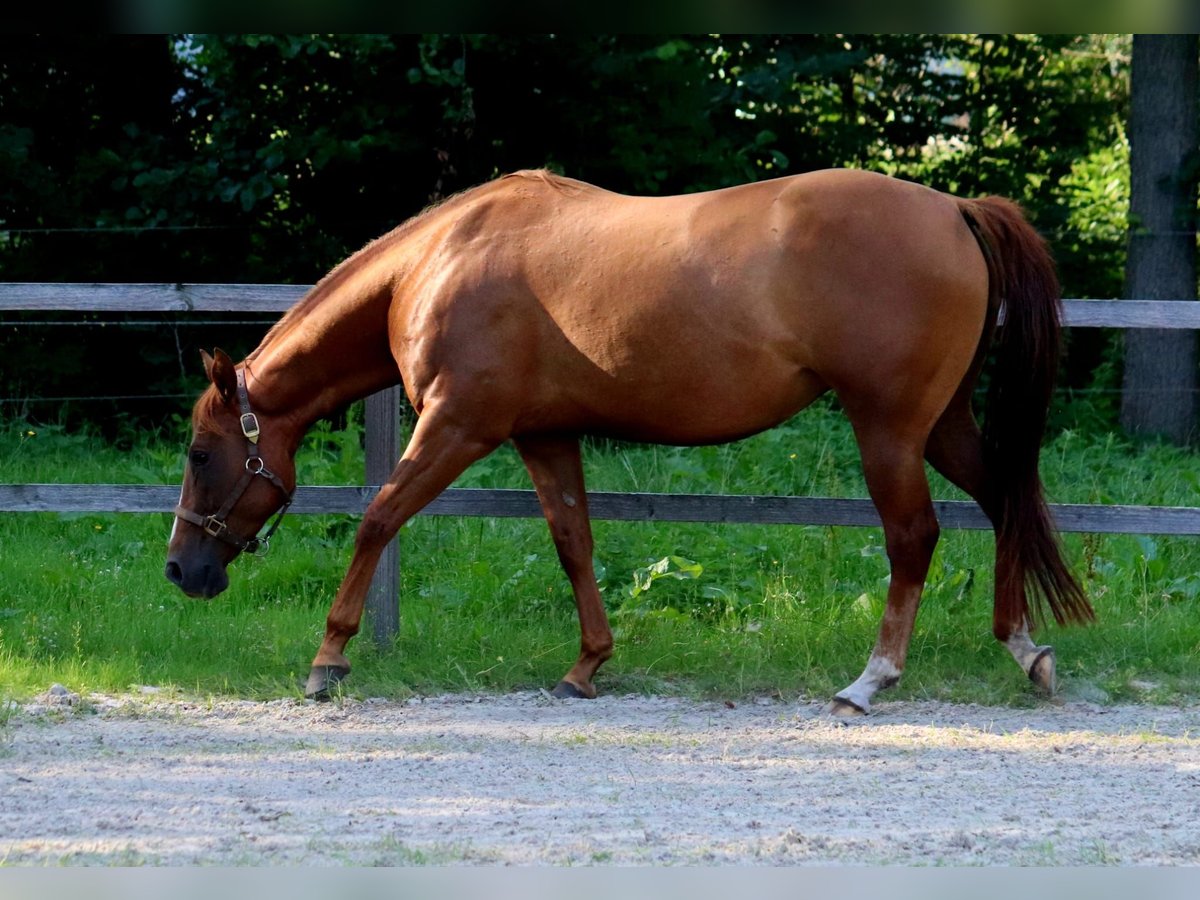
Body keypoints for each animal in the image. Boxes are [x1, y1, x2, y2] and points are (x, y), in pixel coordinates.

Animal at [164, 169, 1094, 715]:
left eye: (201, 455)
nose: (181, 570)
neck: (439, 262)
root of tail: (955, 209)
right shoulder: (544, 437)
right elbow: (574, 542)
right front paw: (588, 665)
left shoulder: (458, 426)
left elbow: (379, 518)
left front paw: (329, 659)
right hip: (941, 424)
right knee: (1003, 499)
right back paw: (1024, 649)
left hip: (889, 430)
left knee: (915, 537)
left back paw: (872, 679)